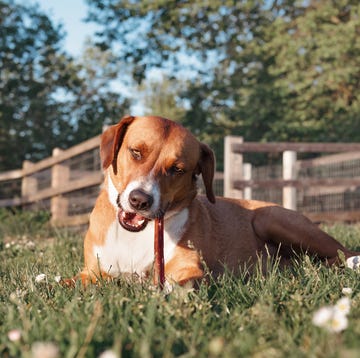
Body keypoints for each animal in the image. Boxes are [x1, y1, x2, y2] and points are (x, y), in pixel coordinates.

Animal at [66, 114, 358, 288]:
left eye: (177, 169)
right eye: (136, 152)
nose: (140, 200)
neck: (135, 235)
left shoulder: (186, 267)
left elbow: (178, 281)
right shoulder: (91, 272)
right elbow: (66, 282)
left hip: (271, 218)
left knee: (343, 253)